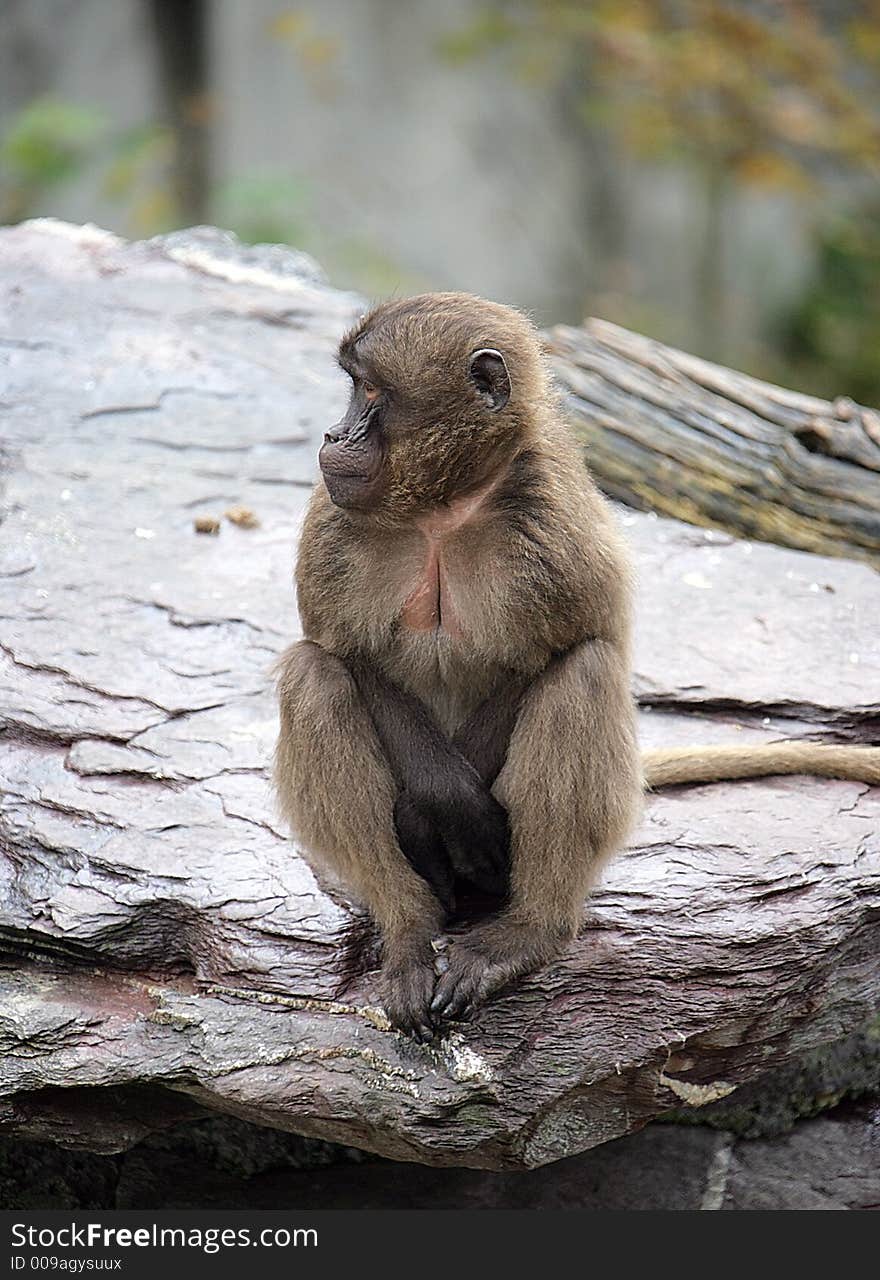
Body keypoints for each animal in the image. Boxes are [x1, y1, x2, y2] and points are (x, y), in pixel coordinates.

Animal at [273, 294, 874, 1044]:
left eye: (371, 390)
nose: (334, 434)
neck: (443, 508)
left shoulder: (552, 524)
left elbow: (569, 649)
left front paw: (450, 812)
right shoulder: (334, 517)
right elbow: (347, 656)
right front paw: (435, 806)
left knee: (584, 675)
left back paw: (528, 933)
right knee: (311, 676)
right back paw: (409, 930)